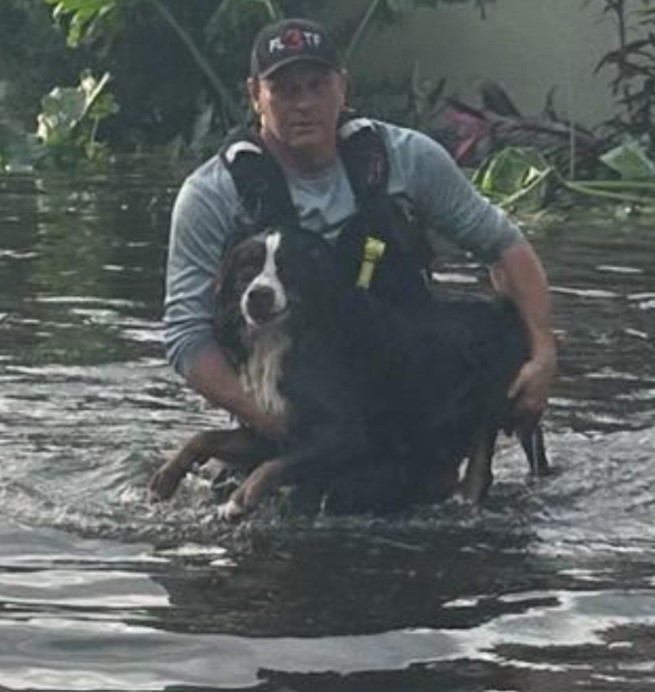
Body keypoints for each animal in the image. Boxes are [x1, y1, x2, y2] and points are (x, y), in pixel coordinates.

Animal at [150, 227, 548, 520]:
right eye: (247, 269)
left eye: (286, 269)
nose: (258, 295)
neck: (286, 336)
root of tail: (505, 309)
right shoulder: (272, 426)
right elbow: (204, 437)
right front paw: (167, 476)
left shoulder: (345, 434)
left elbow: (273, 467)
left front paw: (240, 499)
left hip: (488, 409)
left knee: (477, 472)